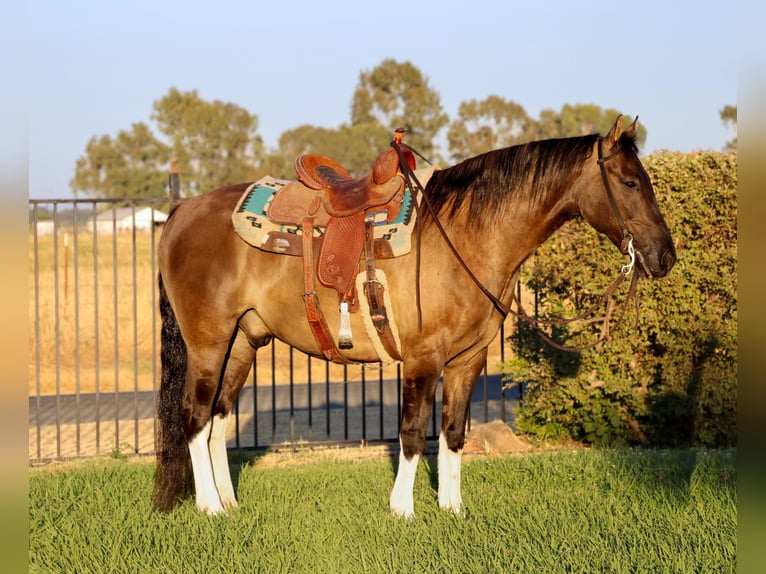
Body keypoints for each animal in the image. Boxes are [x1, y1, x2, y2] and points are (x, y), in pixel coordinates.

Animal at [152, 115, 676, 519]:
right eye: (631, 182)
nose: (665, 257)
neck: (465, 234)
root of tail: (180, 210)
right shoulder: (423, 358)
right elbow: (410, 432)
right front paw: (402, 510)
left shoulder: (468, 360)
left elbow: (453, 433)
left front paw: (452, 508)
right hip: (208, 341)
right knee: (194, 416)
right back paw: (210, 508)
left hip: (242, 341)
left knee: (219, 419)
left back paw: (229, 501)